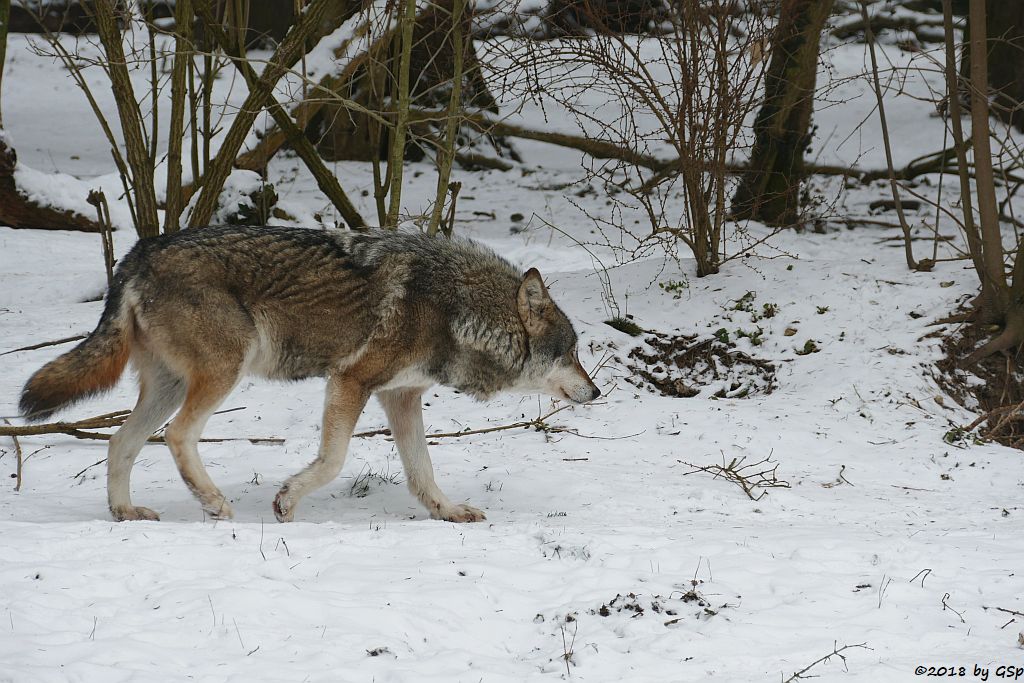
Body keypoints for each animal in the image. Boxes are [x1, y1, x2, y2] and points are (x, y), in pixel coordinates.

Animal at [18, 224, 598, 524]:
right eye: (571, 351)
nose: (594, 391)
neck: (455, 306)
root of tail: (137, 254)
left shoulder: (402, 397)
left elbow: (422, 471)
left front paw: (448, 511)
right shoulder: (351, 381)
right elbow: (334, 460)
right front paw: (287, 501)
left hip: (169, 386)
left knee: (121, 441)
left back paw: (124, 512)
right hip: (222, 373)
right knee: (178, 436)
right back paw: (214, 503)